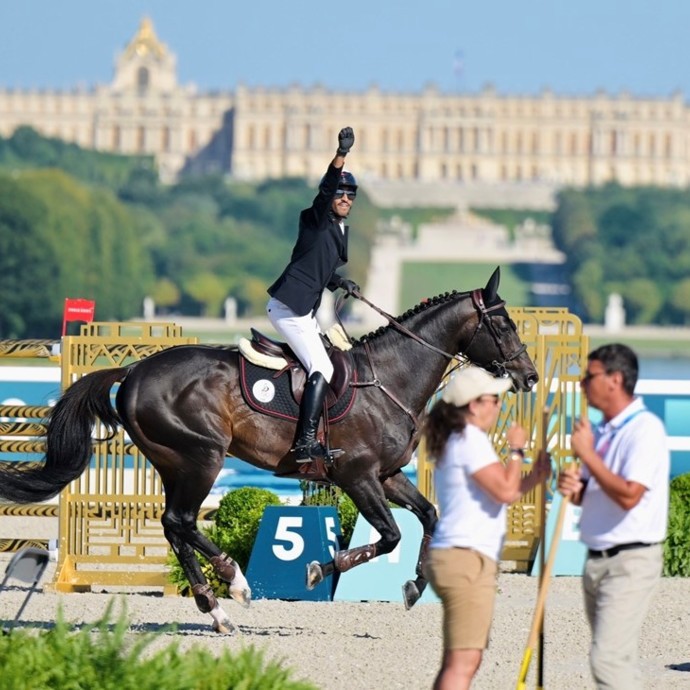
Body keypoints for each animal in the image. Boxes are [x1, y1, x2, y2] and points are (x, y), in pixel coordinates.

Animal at [0, 266, 536, 632]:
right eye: (504, 325)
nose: (529, 377)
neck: (391, 377)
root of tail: (133, 370)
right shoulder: (358, 476)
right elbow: (388, 537)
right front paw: (319, 570)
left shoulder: (386, 476)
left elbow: (429, 518)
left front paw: (413, 586)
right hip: (203, 457)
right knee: (181, 522)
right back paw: (234, 584)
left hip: (177, 461)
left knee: (175, 525)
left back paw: (216, 610)